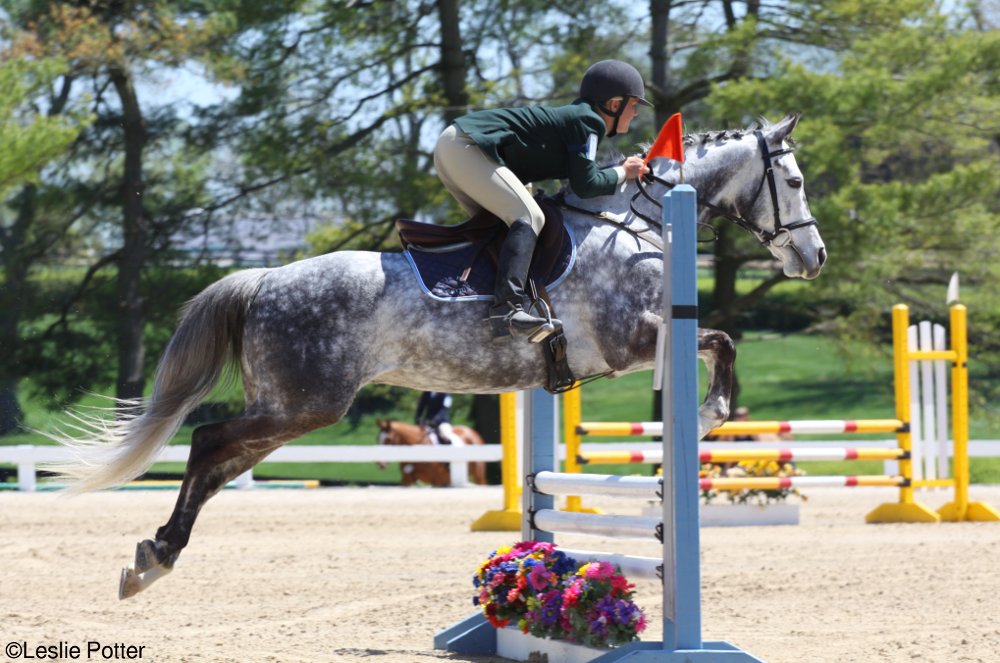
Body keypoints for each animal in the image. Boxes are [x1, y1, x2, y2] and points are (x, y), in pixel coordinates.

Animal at [47, 111, 824, 600]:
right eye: (793, 182)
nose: (813, 258)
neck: (636, 222)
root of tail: (264, 277)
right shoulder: (630, 339)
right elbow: (720, 340)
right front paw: (711, 415)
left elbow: (719, 342)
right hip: (306, 404)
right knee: (209, 440)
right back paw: (156, 556)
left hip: (291, 409)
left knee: (218, 460)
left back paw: (152, 556)